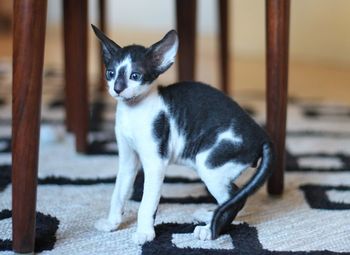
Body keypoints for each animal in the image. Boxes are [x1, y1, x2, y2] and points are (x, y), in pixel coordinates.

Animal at [91, 25, 274, 245]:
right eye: (110, 73)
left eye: (135, 76)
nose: (117, 89)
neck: (132, 111)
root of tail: (261, 133)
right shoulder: (127, 160)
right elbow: (118, 193)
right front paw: (112, 223)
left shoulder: (156, 163)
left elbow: (146, 203)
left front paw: (144, 233)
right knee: (234, 196)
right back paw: (210, 215)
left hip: (209, 162)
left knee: (236, 197)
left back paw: (209, 230)